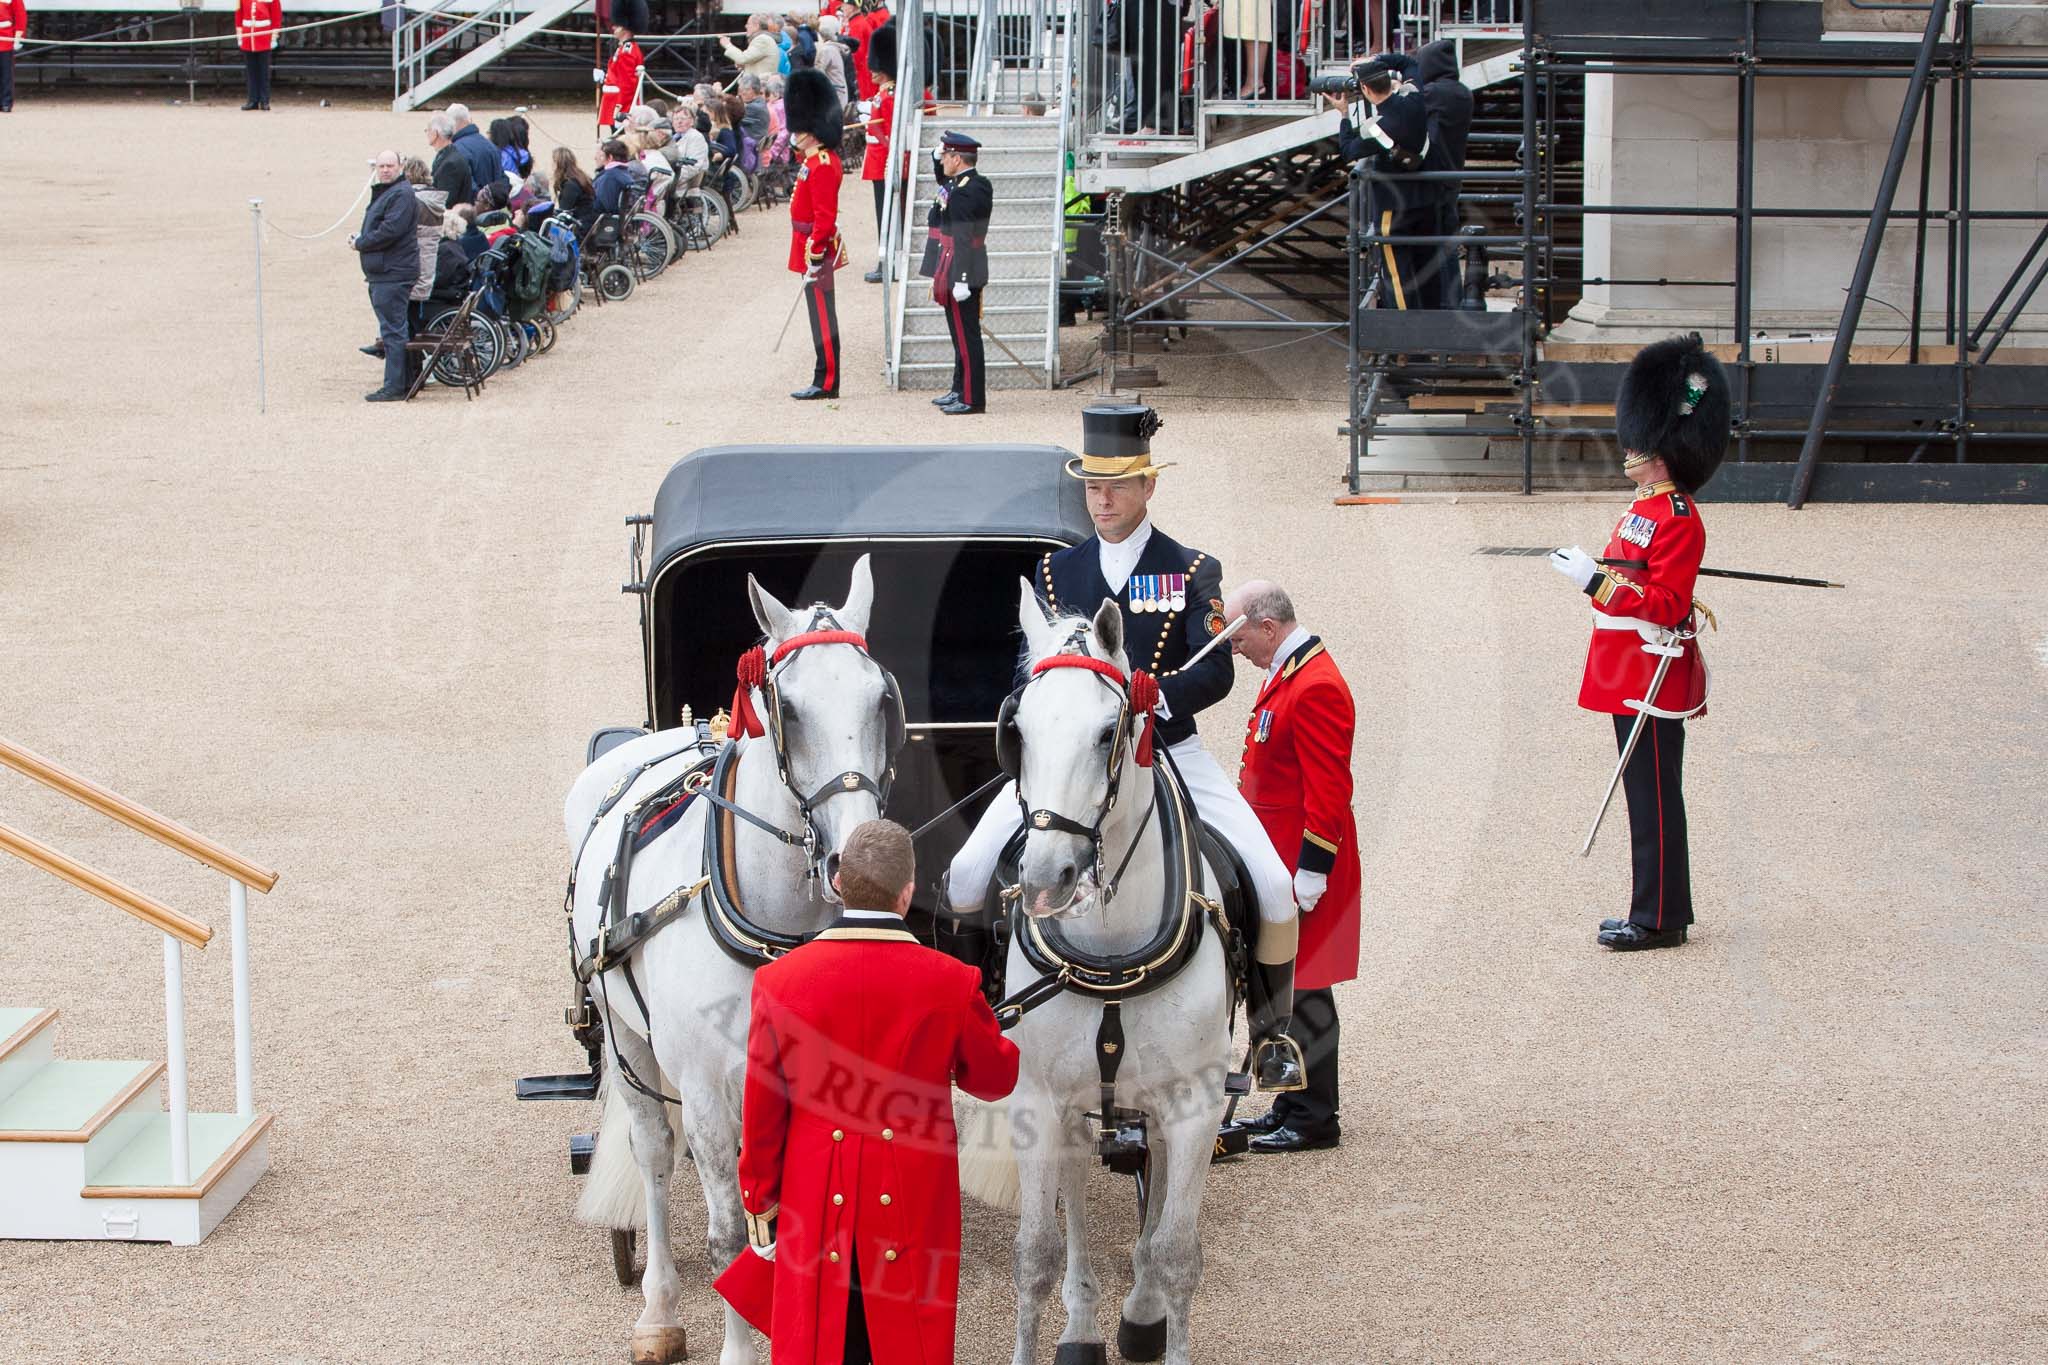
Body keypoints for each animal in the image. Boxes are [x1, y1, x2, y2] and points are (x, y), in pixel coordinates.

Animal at [573, 556, 901, 1365]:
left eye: (882, 698)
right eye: (790, 708)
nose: (859, 859)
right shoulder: (704, 1089)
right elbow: (729, 1235)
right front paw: (742, 1346)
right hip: (628, 1043)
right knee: (655, 1156)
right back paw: (659, 1308)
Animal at [970, 589, 1236, 1365]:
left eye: (1105, 732)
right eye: (1018, 732)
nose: (1044, 878)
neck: (1114, 948)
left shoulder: (1195, 1104)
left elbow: (1176, 1253)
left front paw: (1156, 1319)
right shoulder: (1037, 1099)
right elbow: (1036, 1252)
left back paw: (1139, 1314)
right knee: (1080, 1191)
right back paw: (1083, 1328)